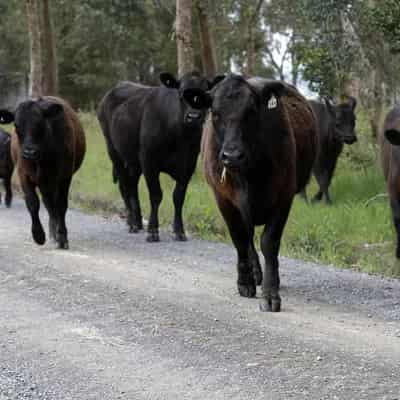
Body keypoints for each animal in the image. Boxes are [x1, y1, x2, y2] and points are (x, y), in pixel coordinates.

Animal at [97, 70, 222, 242]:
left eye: (205, 94)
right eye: (181, 93)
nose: (194, 117)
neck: (180, 138)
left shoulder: (188, 165)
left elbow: (178, 197)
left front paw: (179, 231)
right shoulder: (149, 161)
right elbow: (156, 195)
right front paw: (153, 231)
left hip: (134, 161)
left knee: (132, 185)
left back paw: (138, 222)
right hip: (114, 151)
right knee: (124, 185)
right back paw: (132, 223)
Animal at [184, 76, 318, 312]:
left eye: (252, 111)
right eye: (215, 113)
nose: (232, 155)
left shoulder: (284, 196)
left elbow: (269, 243)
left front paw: (270, 293)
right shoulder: (223, 199)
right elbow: (239, 238)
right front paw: (245, 282)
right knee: (246, 239)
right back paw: (254, 274)